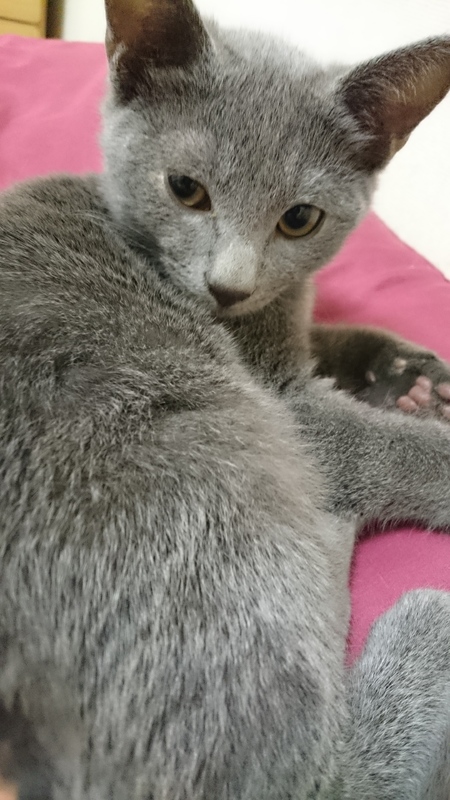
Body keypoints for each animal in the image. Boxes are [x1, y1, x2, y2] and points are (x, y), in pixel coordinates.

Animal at [0, 0, 450, 797]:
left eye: (299, 218)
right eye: (186, 188)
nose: (227, 286)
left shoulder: (285, 331)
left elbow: (330, 336)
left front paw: (414, 372)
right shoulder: (287, 406)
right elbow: (387, 447)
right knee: (310, 778)